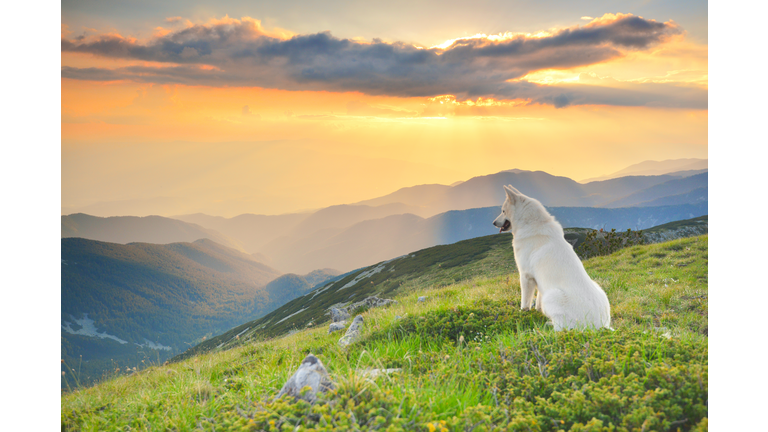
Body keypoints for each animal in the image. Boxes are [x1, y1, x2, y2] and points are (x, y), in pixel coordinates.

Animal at [492, 184, 612, 330]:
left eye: (503, 211)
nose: (493, 223)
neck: (531, 223)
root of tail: (600, 325)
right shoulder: (539, 281)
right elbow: (538, 302)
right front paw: (538, 312)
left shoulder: (526, 276)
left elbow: (525, 302)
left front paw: (522, 314)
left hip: (552, 295)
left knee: (561, 329)